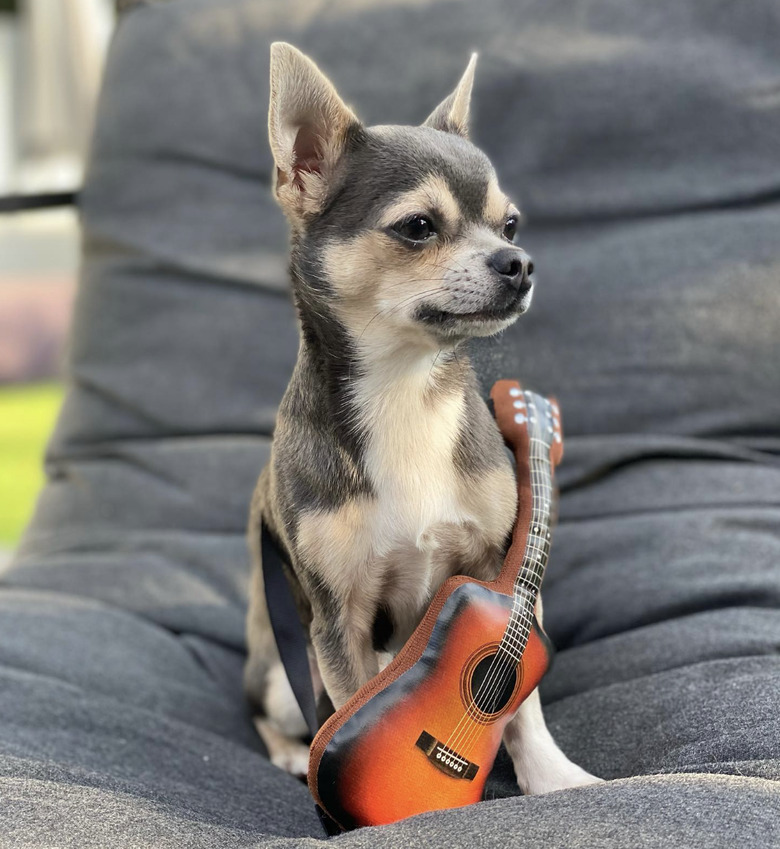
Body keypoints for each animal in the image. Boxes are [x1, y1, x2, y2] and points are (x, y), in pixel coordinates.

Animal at [247, 39, 600, 796]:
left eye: (510, 224)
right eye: (418, 227)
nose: (519, 262)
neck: (404, 388)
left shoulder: (496, 571)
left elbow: (521, 702)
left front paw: (550, 774)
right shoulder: (340, 620)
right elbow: (348, 706)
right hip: (277, 671)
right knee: (267, 707)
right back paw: (290, 752)